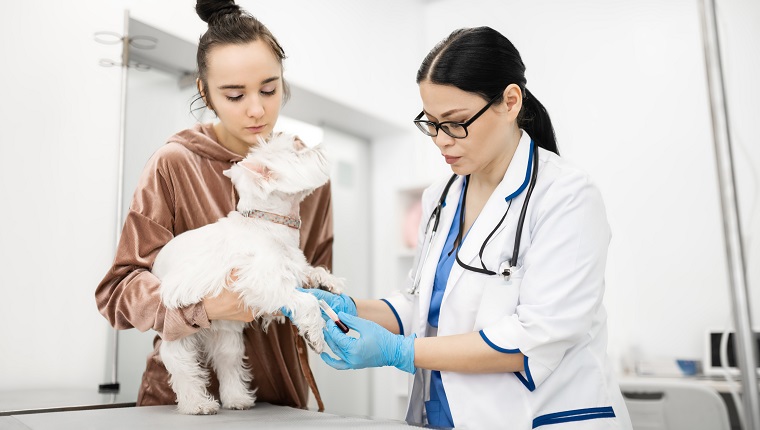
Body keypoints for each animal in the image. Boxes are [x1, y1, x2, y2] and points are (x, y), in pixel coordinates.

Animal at [153, 133, 342, 414]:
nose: (319, 143)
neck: (268, 221)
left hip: (226, 333)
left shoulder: (292, 266)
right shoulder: (261, 281)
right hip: (179, 326)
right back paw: (198, 404)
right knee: (181, 362)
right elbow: (307, 300)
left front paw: (330, 282)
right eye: (297, 152)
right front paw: (315, 334)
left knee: (227, 360)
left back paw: (237, 399)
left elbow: (311, 271)